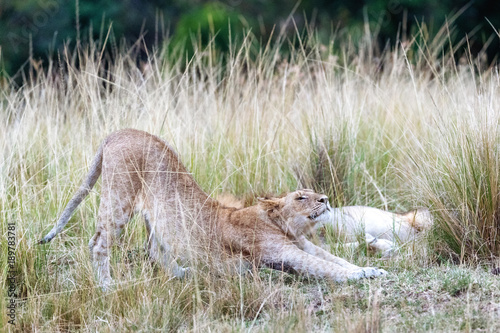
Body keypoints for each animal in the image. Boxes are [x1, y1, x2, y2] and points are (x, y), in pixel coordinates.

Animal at [42, 127, 386, 288]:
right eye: (301, 197)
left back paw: (182, 274)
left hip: (157, 213)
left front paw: (372, 269)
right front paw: (362, 275)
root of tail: (118, 132)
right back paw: (106, 285)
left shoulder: (304, 245)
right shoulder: (284, 253)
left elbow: (338, 259)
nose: (325, 199)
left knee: (154, 249)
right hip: (120, 197)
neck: (282, 227)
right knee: (99, 242)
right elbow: (328, 268)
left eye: (314, 192)